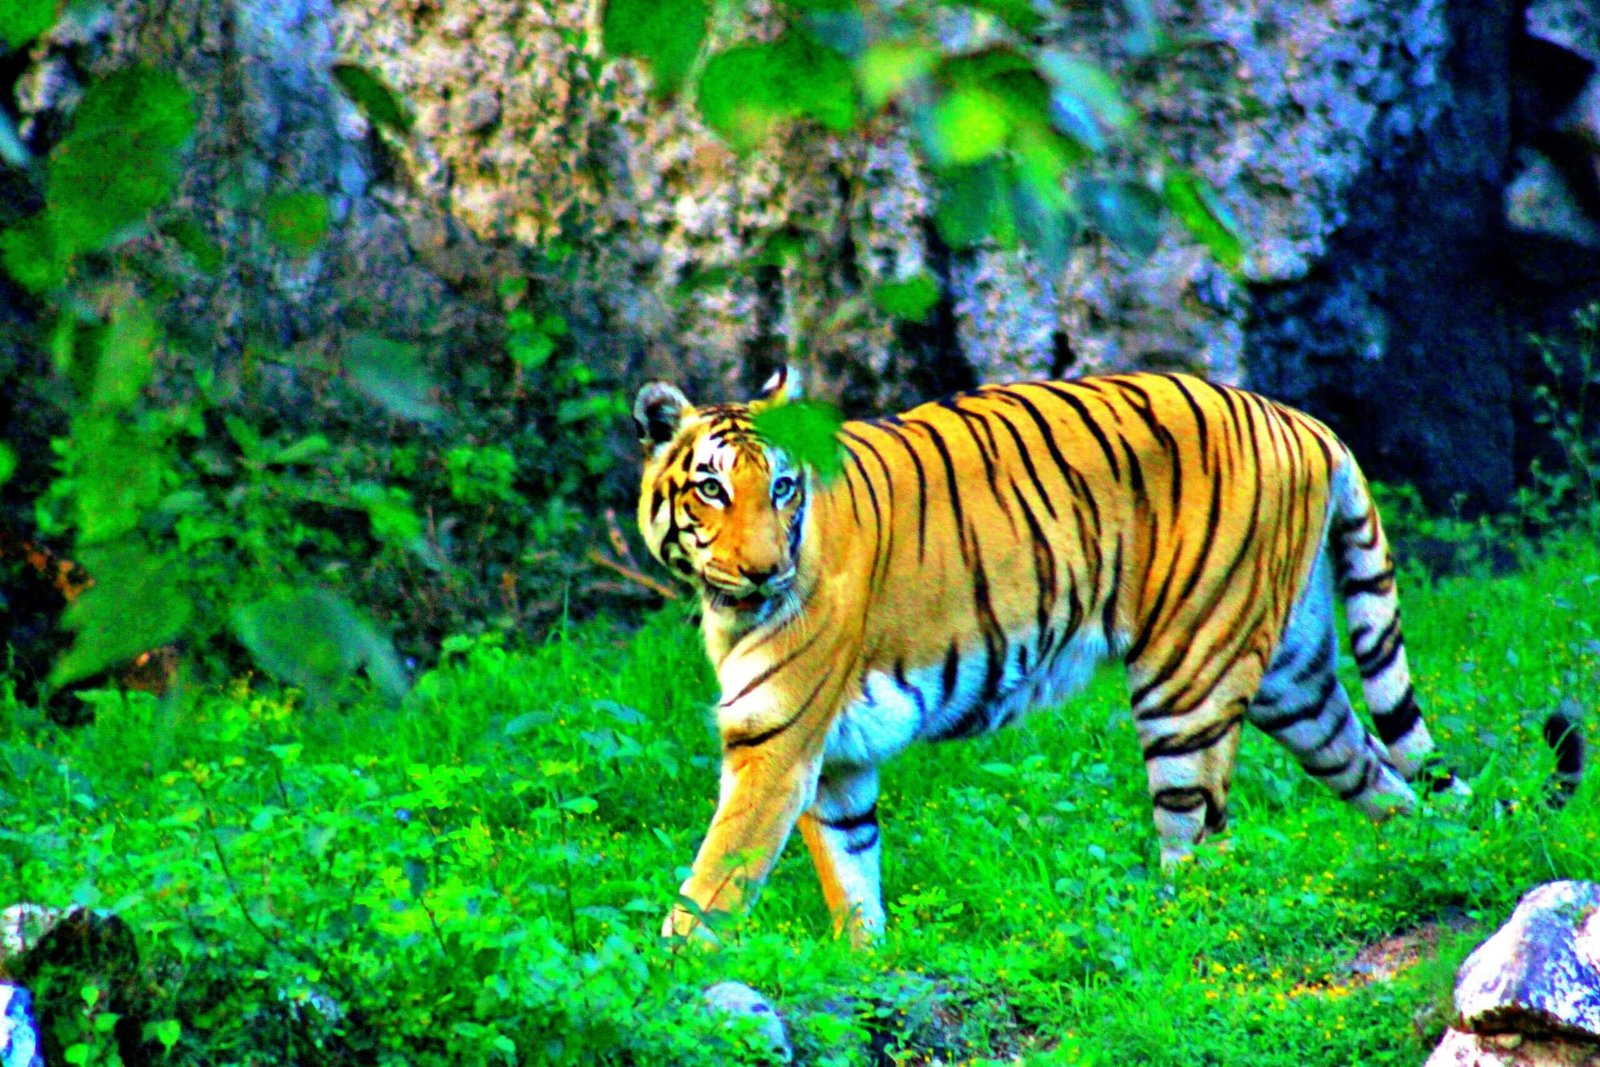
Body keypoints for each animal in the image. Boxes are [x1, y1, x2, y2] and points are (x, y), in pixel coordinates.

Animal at [632, 368, 1586, 946]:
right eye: (711, 487)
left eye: (783, 487)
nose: (766, 568)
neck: (728, 608)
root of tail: (1303, 418)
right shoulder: (835, 762)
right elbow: (852, 875)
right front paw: (864, 961)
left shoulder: (775, 744)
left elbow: (714, 878)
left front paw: (670, 974)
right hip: (1298, 681)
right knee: (1389, 781)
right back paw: (1419, 869)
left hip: (1187, 680)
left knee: (1201, 842)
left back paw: (1158, 932)